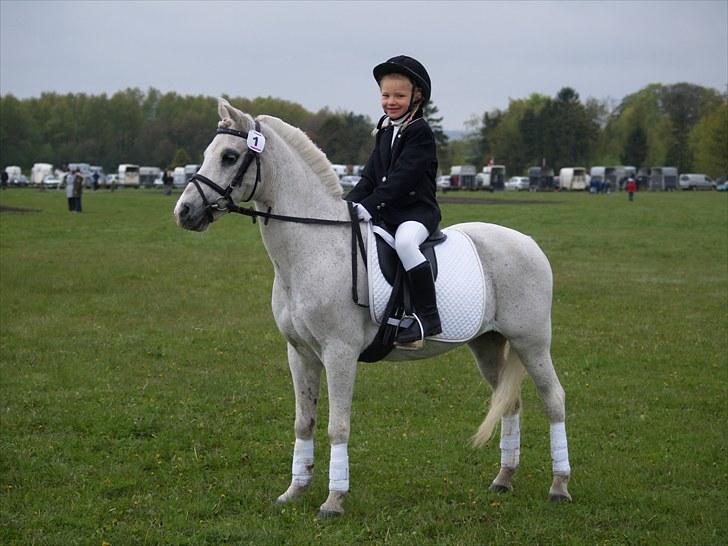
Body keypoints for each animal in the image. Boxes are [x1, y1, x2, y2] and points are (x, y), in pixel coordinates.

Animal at [173, 100, 572, 516]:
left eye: (230, 156)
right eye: (208, 154)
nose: (184, 212)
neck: (311, 248)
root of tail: (529, 242)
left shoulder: (339, 352)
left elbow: (338, 426)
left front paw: (334, 500)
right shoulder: (299, 353)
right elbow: (304, 422)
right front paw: (294, 491)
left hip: (531, 343)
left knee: (554, 400)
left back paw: (559, 485)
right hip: (489, 344)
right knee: (510, 404)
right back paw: (503, 480)